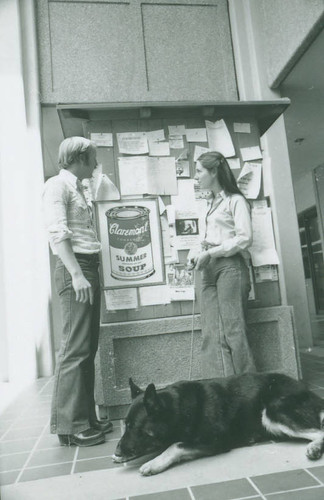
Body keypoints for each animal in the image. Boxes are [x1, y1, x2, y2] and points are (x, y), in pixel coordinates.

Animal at [112, 372, 324, 476]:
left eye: (134, 427)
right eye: (126, 425)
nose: (118, 451)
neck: (179, 408)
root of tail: (310, 392)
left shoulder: (215, 441)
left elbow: (176, 445)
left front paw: (154, 463)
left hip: (272, 412)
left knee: (320, 431)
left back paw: (314, 448)